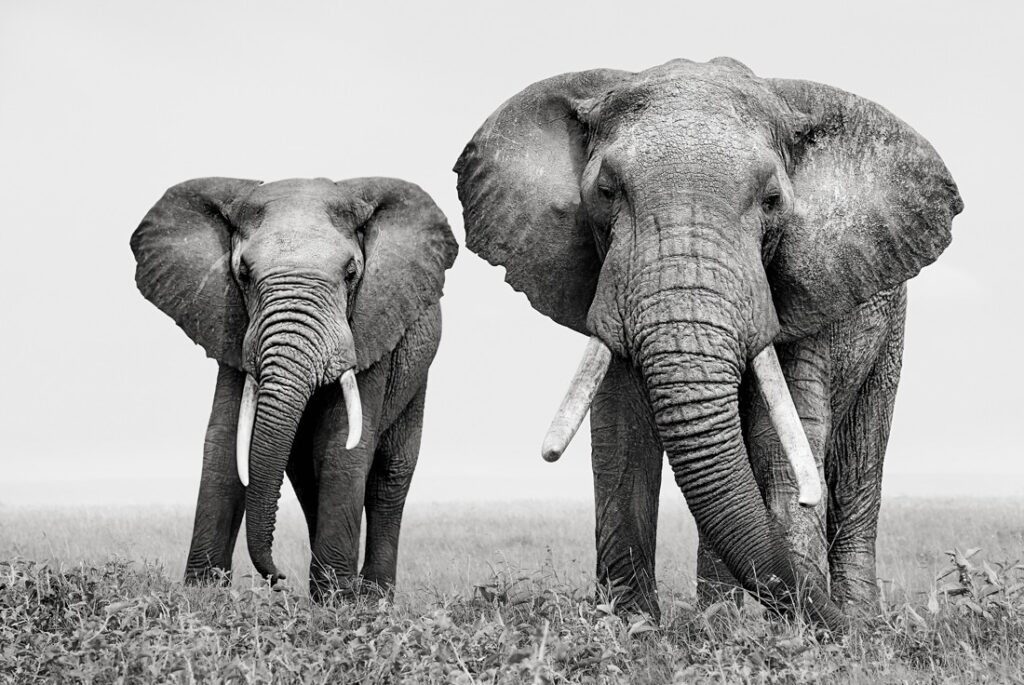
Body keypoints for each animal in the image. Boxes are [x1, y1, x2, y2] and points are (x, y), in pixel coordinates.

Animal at [131, 178, 456, 597]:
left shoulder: (370, 324)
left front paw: (338, 601)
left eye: (351, 272)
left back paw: (373, 596)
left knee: (389, 472)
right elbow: (225, 440)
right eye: (243, 274)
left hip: (417, 367)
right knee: (305, 473)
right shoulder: (231, 323)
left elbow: (343, 442)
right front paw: (202, 594)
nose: (279, 579)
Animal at [456, 58, 958, 630]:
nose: (832, 624)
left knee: (858, 459)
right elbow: (621, 435)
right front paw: (632, 625)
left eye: (772, 201)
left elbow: (781, 445)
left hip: (890, 325)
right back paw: (723, 619)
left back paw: (857, 617)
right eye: (606, 192)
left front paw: (800, 633)